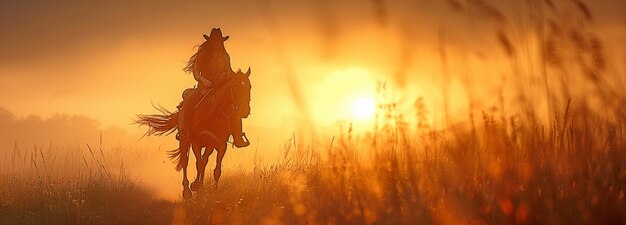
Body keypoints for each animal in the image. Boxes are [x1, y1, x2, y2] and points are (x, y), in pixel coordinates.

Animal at [137, 69, 251, 199]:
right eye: (235, 86)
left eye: (249, 86)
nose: (245, 111)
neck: (213, 112)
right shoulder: (196, 142)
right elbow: (199, 163)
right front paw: (196, 185)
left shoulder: (220, 145)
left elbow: (215, 169)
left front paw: (214, 193)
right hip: (184, 141)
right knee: (185, 161)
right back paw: (187, 191)